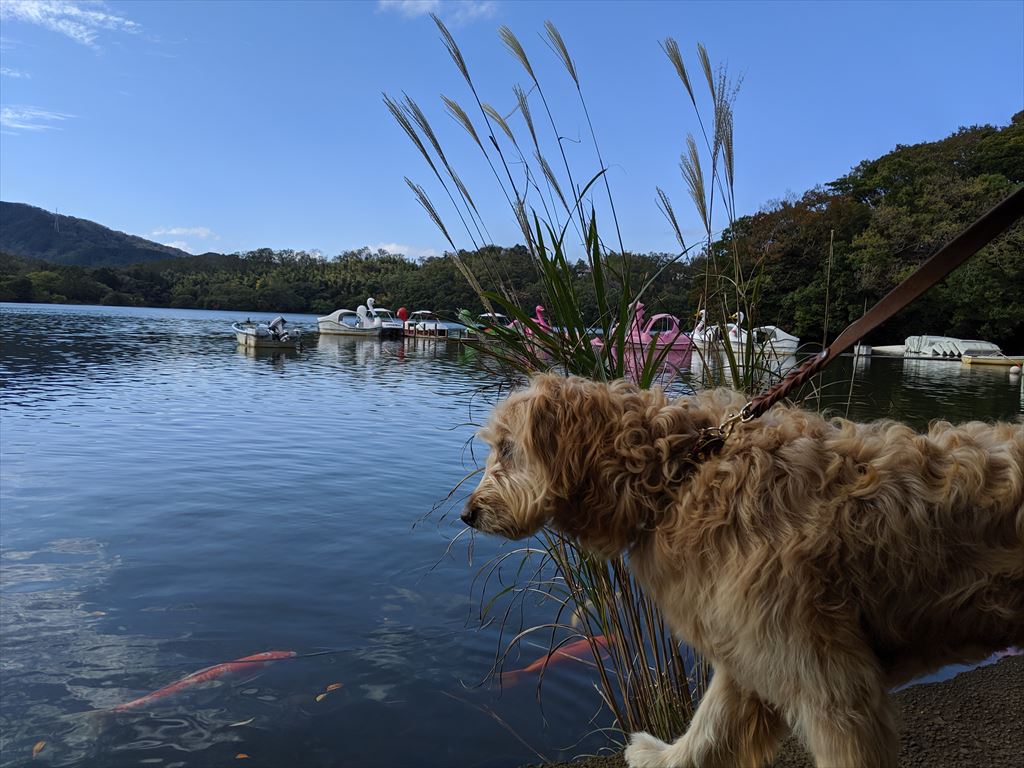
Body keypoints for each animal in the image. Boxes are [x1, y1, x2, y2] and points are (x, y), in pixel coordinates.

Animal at [464, 376, 1024, 768]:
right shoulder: (749, 644)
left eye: (508, 447)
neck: (678, 476)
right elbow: (709, 727)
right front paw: (661, 757)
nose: (467, 514)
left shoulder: (830, 683)